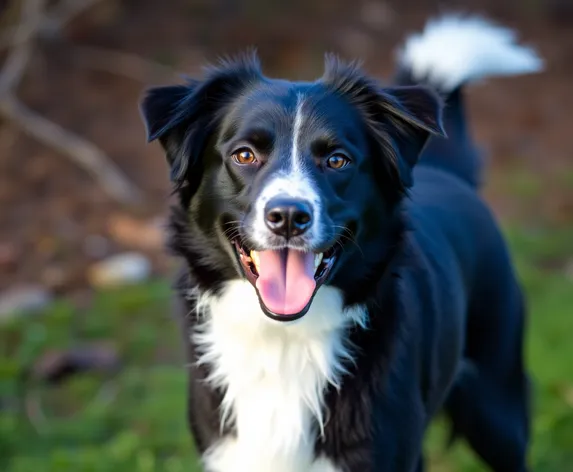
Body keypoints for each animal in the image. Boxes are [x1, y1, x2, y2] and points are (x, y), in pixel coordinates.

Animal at [141, 14, 544, 472]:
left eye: (337, 160)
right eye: (244, 155)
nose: (288, 217)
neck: (284, 338)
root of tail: (446, 172)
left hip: (496, 406)